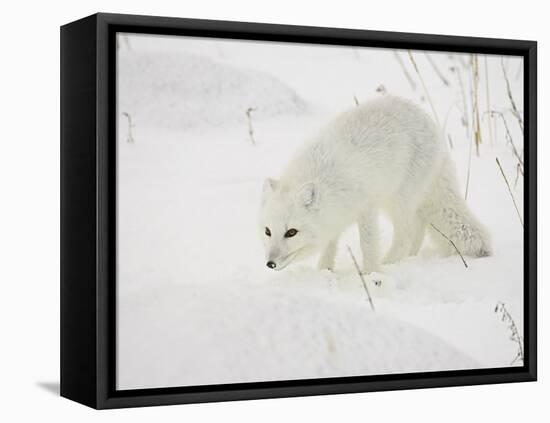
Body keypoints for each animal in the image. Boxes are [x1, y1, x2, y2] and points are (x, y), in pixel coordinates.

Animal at [260, 96, 494, 274]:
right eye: (267, 231)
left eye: (291, 232)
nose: (270, 264)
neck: (324, 178)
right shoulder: (334, 217)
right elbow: (330, 247)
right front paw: (324, 272)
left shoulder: (366, 208)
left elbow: (368, 245)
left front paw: (371, 275)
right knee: (418, 225)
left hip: (398, 200)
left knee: (406, 234)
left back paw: (390, 264)